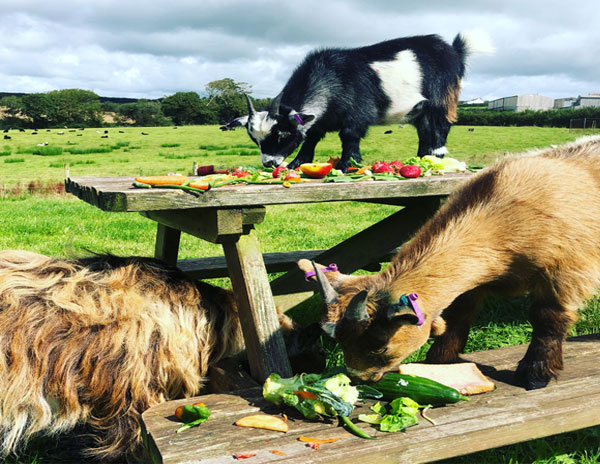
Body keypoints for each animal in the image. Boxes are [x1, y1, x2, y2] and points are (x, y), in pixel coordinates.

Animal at [227, 31, 494, 172]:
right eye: (254, 139)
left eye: (283, 135)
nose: (269, 164)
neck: (332, 78)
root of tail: (455, 50)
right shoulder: (321, 120)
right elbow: (311, 137)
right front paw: (298, 163)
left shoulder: (357, 114)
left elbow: (349, 136)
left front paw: (348, 164)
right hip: (419, 110)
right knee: (424, 130)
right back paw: (420, 159)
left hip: (442, 99)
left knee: (439, 127)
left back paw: (436, 158)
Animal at [302, 135, 600, 392]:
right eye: (338, 340)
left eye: (378, 346)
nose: (359, 379)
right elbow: (459, 312)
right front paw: (440, 359)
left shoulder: (568, 270)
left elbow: (547, 318)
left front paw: (535, 374)